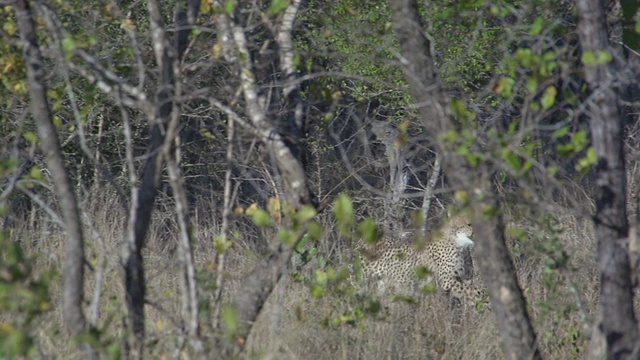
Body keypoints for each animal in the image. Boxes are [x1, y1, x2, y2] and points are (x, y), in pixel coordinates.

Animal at [358, 215, 488, 308]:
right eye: (469, 224)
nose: (477, 232)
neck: (458, 242)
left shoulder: (460, 278)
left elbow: (469, 290)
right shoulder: (447, 281)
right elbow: (472, 291)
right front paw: (484, 300)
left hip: (381, 284)